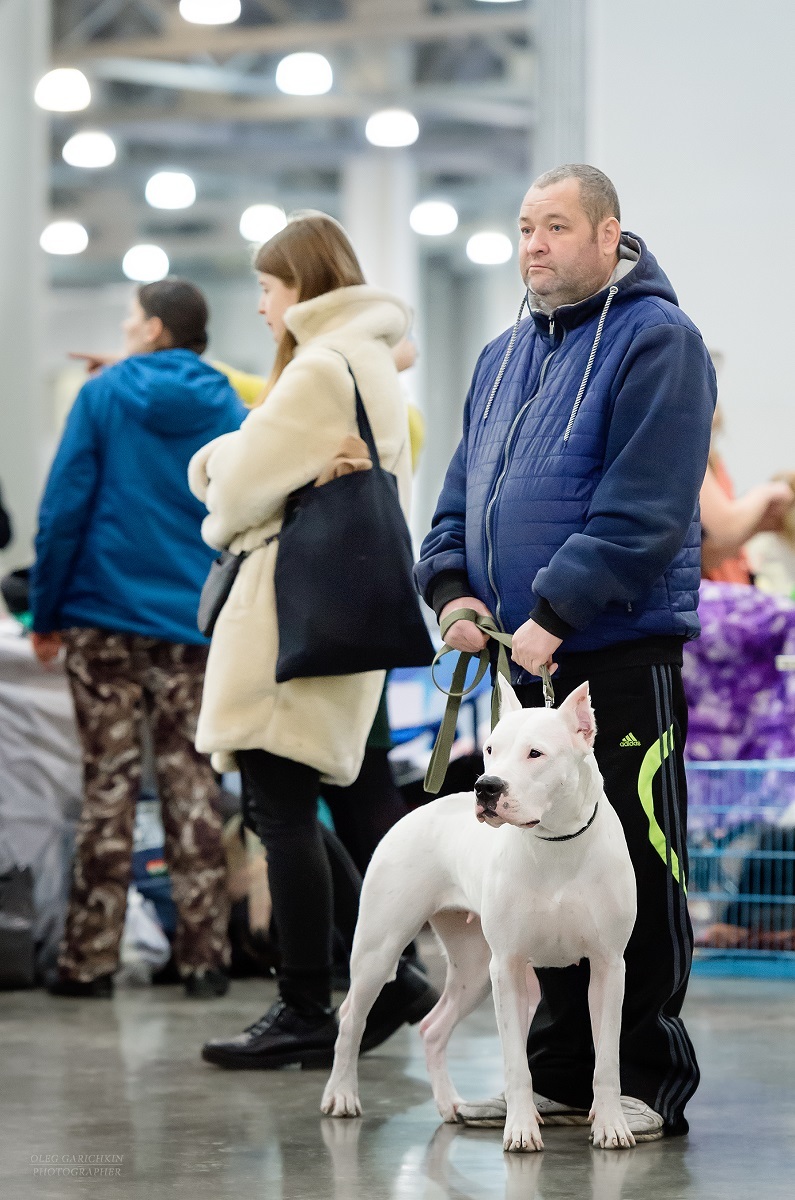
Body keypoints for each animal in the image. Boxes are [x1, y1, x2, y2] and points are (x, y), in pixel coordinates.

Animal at [321, 681, 638, 1147]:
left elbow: (608, 1060)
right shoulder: (506, 967)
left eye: (535, 753)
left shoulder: (608, 966)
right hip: (380, 951)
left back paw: (450, 1105)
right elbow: (515, 1063)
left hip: (473, 970)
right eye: (491, 749)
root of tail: (416, 812)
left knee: (433, 1028)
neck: (556, 842)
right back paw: (342, 1095)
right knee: (350, 1021)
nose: (486, 787)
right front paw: (521, 1129)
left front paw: (611, 1124)